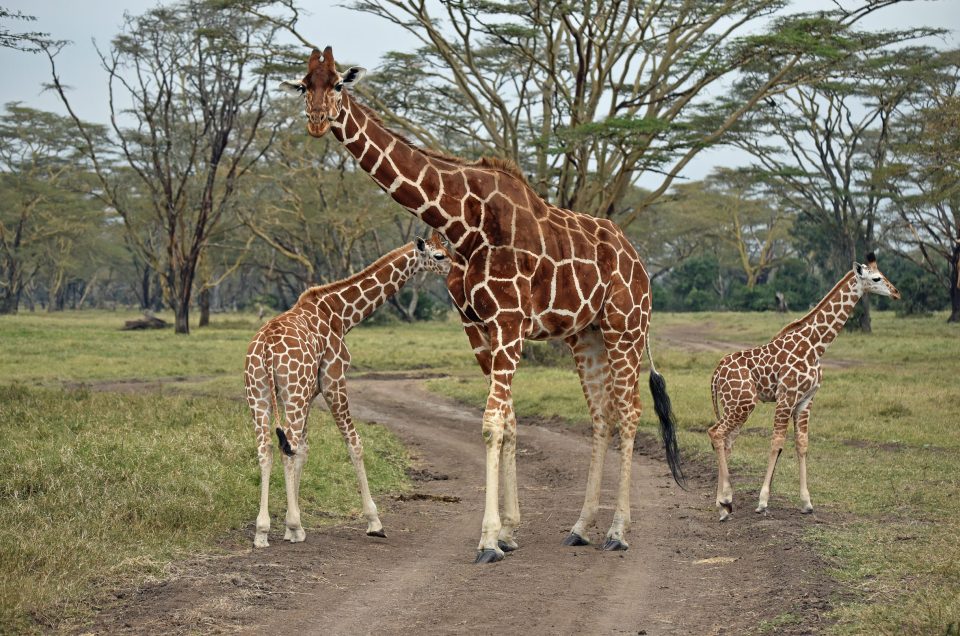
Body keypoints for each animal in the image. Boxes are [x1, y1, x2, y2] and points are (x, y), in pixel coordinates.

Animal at [245, 236, 451, 548]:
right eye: (439, 255)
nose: (454, 267)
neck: (340, 313)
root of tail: (267, 349)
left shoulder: (308, 393)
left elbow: (302, 449)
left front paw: (289, 527)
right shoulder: (334, 379)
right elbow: (354, 443)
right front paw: (373, 522)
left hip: (261, 395)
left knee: (267, 448)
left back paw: (261, 532)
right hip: (290, 393)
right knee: (283, 448)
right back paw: (288, 526)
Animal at [280, 47, 684, 563]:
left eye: (336, 84)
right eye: (303, 86)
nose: (316, 120)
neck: (464, 222)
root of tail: (639, 261)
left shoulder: (509, 321)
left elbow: (492, 422)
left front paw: (489, 539)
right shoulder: (479, 327)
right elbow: (507, 420)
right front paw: (509, 531)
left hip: (625, 326)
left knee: (630, 411)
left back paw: (617, 530)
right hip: (586, 335)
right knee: (602, 415)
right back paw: (580, 527)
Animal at [708, 253, 900, 521]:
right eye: (876, 278)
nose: (896, 292)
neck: (816, 345)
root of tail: (716, 374)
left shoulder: (806, 400)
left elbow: (802, 444)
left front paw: (807, 503)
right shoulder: (786, 396)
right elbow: (777, 442)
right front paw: (763, 502)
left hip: (734, 405)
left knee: (726, 440)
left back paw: (723, 505)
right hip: (742, 403)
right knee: (716, 433)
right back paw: (725, 500)